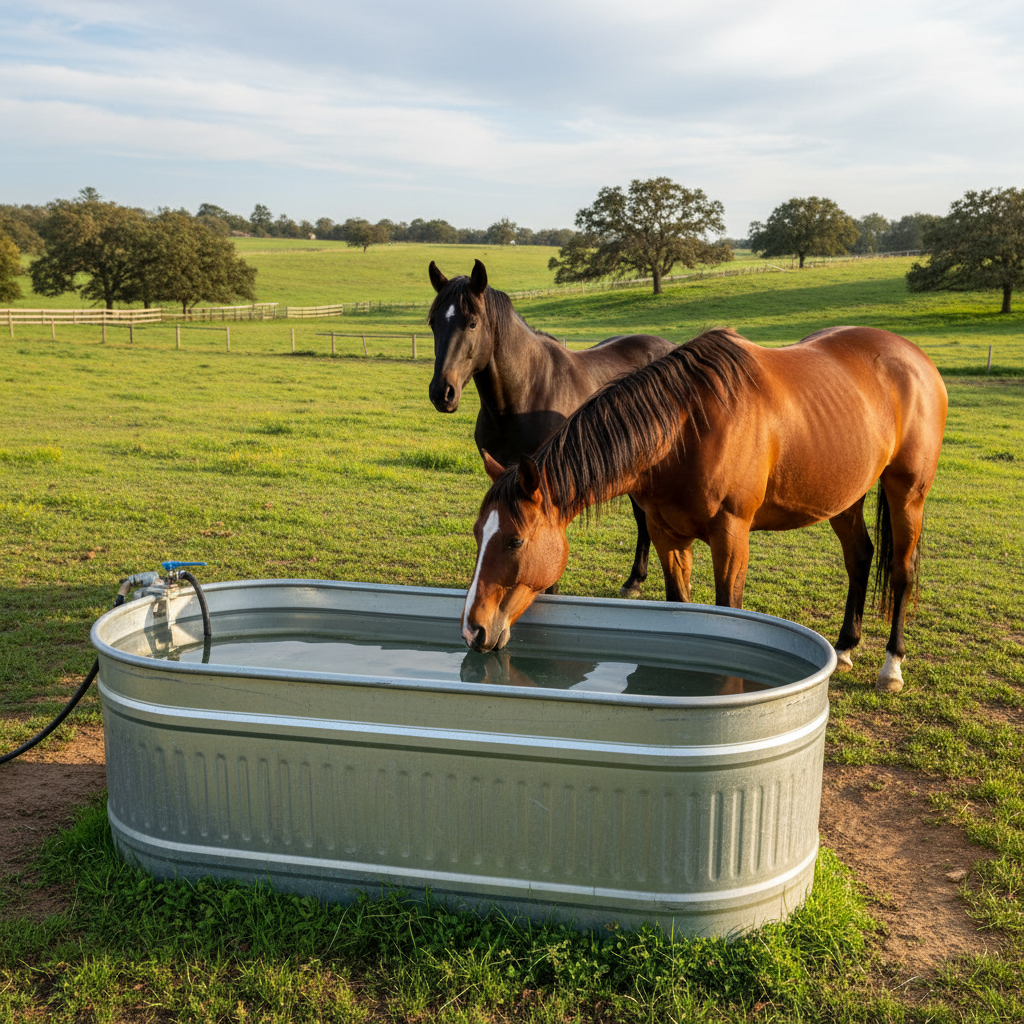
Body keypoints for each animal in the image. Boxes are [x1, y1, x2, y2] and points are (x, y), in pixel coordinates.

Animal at [460, 326, 948, 694]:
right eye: (477, 533)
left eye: (515, 540)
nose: (473, 630)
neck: (685, 428)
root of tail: (914, 357)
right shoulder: (666, 534)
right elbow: (681, 607)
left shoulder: (731, 536)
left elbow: (727, 610)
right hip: (847, 497)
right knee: (860, 558)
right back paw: (845, 647)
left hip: (908, 493)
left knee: (901, 572)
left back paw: (891, 667)